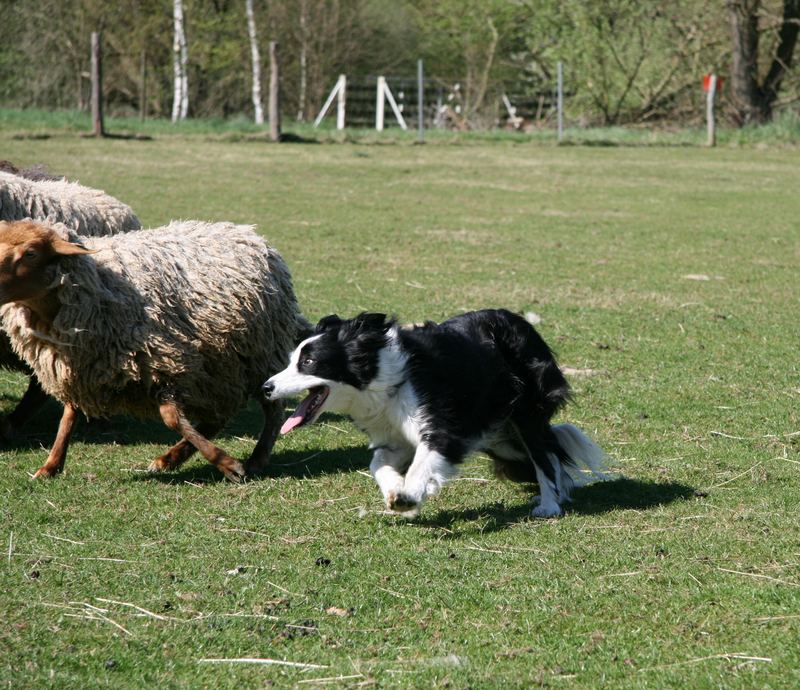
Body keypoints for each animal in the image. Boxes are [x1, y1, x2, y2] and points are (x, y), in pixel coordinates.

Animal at [0, 216, 310, 478]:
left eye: (31, 253)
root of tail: (251, 235)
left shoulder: (164, 361)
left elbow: (171, 418)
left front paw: (228, 463)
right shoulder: (81, 366)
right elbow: (68, 416)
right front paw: (51, 465)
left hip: (257, 353)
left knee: (273, 409)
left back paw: (256, 458)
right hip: (221, 367)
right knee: (219, 415)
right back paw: (172, 458)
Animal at [262, 308, 608, 516]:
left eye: (308, 362)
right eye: (292, 360)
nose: (266, 387)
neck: (382, 378)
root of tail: (519, 320)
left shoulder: (445, 429)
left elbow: (422, 463)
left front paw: (409, 496)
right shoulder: (394, 438)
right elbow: (378, 463)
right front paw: (395, 491)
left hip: (524, 414)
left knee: (544, 457)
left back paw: (549, 505)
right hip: (498, 437)